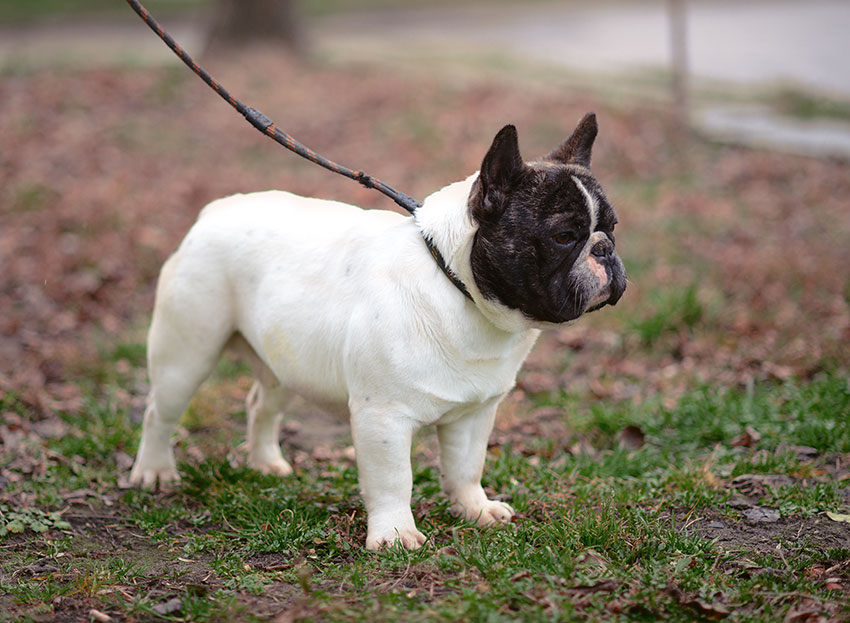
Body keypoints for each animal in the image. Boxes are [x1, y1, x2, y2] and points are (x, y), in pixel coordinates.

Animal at [131, 113, 624, 552]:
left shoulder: (474, 414)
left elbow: (466, 468)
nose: (605, 249)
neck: (459, 288)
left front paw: (475, 510)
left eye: (612, 228)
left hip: (285, 359)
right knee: (160, 412)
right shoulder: (383, 418)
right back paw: (154, 473)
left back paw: (266, 464)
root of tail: (215, 210)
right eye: (564, 236)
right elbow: (393, 480)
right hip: (187, 351)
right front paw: (394, 535)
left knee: (261, 405)